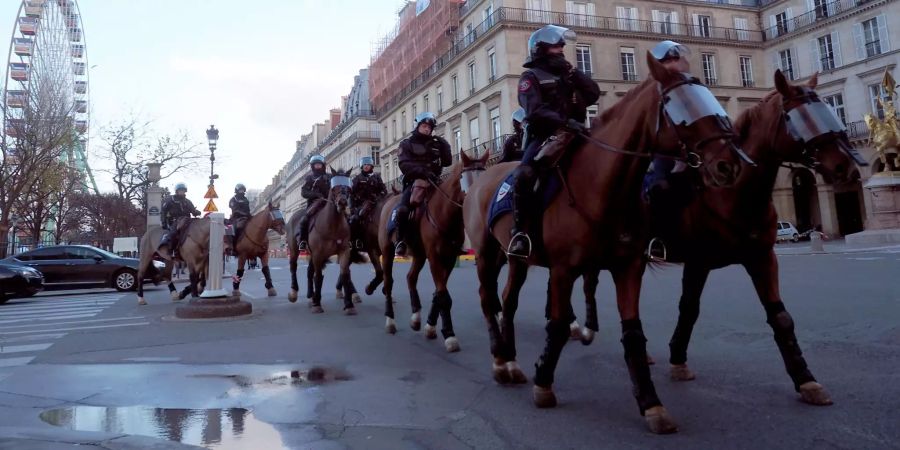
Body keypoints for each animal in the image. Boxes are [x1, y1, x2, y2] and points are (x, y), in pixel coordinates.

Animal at [288, 168, 358, 312]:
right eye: (334, 188)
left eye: (348, 188)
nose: (343, 203)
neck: (333, 225)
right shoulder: (318, 254)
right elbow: (319, 277)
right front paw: (317, 304)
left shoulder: (344, 251)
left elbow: (345, 274)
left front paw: (349, 305)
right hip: (294, 250)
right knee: (293, 266)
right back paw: (294, 293)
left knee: (309, 271)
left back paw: (311, 296)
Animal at [376, 150, 488, 352]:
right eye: (467, 179)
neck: (445, 214)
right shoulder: (435, 257)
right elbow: (443, 295)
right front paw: (449, 335)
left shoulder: (449, 258)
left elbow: (439, 292)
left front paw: (430, 326)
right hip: (388, 252)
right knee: (388, 283)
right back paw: (390, 321)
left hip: (419, 254)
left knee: (410, 278)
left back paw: (416, 317)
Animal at [460, 54, 748, 434]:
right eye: (680, 108)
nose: (729, 164)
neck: (603, 184)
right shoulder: (564, 269)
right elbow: (556, 324)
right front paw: (544, 383)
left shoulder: (627, 268)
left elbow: (633, 332)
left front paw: (651, 404)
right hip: (487, 254)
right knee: (487, 298)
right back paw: (499, 359)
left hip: (517, 258)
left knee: (507, 301)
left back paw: (510, 360)